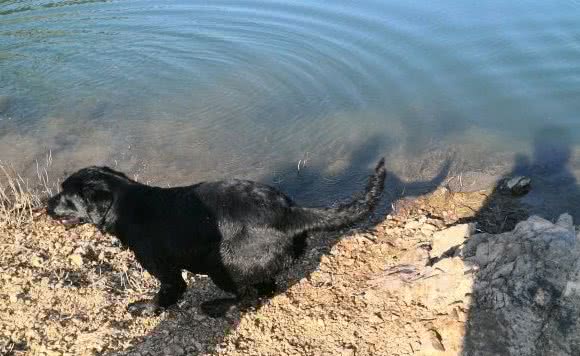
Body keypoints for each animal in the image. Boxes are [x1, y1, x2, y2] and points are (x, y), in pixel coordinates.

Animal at [47, 159, 386, 318]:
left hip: (221, 263)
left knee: (246, 296)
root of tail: (291, 212)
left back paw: (216, 306)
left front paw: (145, 309)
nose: (45, 205)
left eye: (65, 196)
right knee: (265, 289)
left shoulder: (167, 273)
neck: (129, 204)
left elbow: (167, 294)